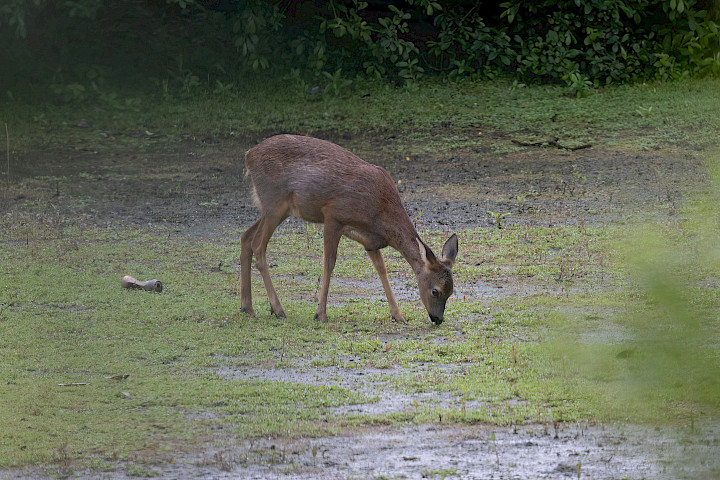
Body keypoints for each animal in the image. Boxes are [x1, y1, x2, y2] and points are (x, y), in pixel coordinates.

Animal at [240, 134, 458, 325]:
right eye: (435, 291)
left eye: (451, 291)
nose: (437, 319)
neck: (381, 214)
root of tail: (249, 155)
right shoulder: (332, 215)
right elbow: (329, 263)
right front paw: (320, 314)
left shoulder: (369, 240)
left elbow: (382, 269)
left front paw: (398, 315)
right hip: (274, 202)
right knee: (258, 244)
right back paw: (278, 310)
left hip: (275, 209)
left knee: (246, 236)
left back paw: (247, 308)